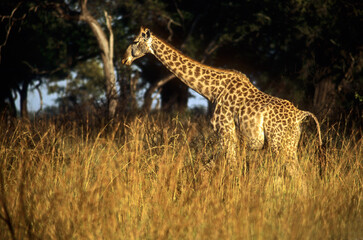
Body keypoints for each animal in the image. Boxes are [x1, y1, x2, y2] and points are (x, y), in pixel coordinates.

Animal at [122, 26, 322, 171]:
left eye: (135, 41)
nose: (124, 60)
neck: (212, 91)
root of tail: (301, 115)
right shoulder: (230, 138)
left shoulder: (226, 133)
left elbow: (228, 168)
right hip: (290, 144)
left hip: (280, 144)